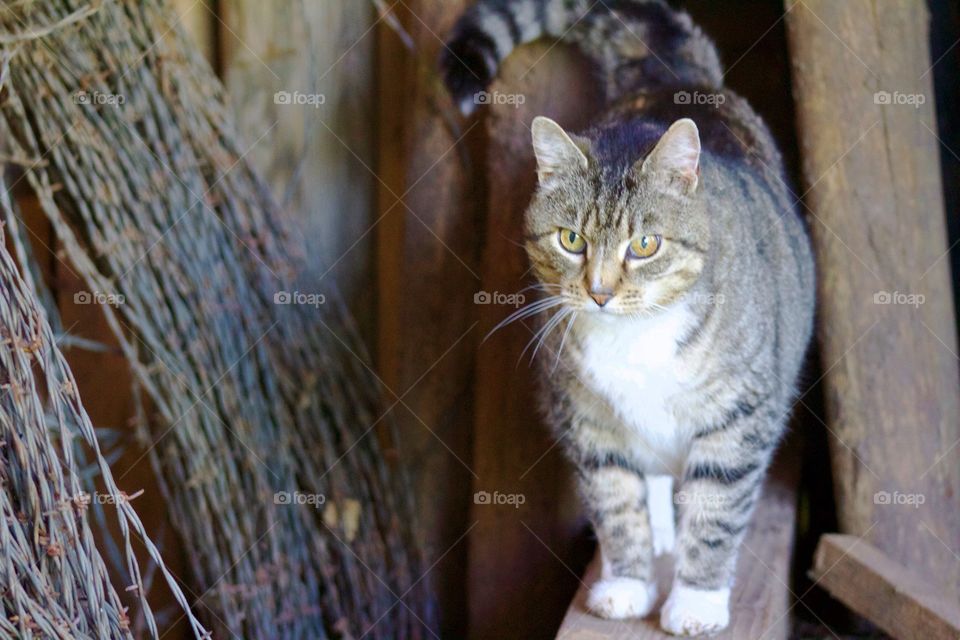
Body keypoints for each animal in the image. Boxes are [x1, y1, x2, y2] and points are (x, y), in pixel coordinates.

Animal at [440, 0, 808, 636]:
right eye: (571, 239)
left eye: (645, 245)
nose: (600, 292)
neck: (634, 337)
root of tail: (671, 78)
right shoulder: (584, 416)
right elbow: (615, 500)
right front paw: (627, 585)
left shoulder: (741, 415)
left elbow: (717, 508)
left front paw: (697, 601)